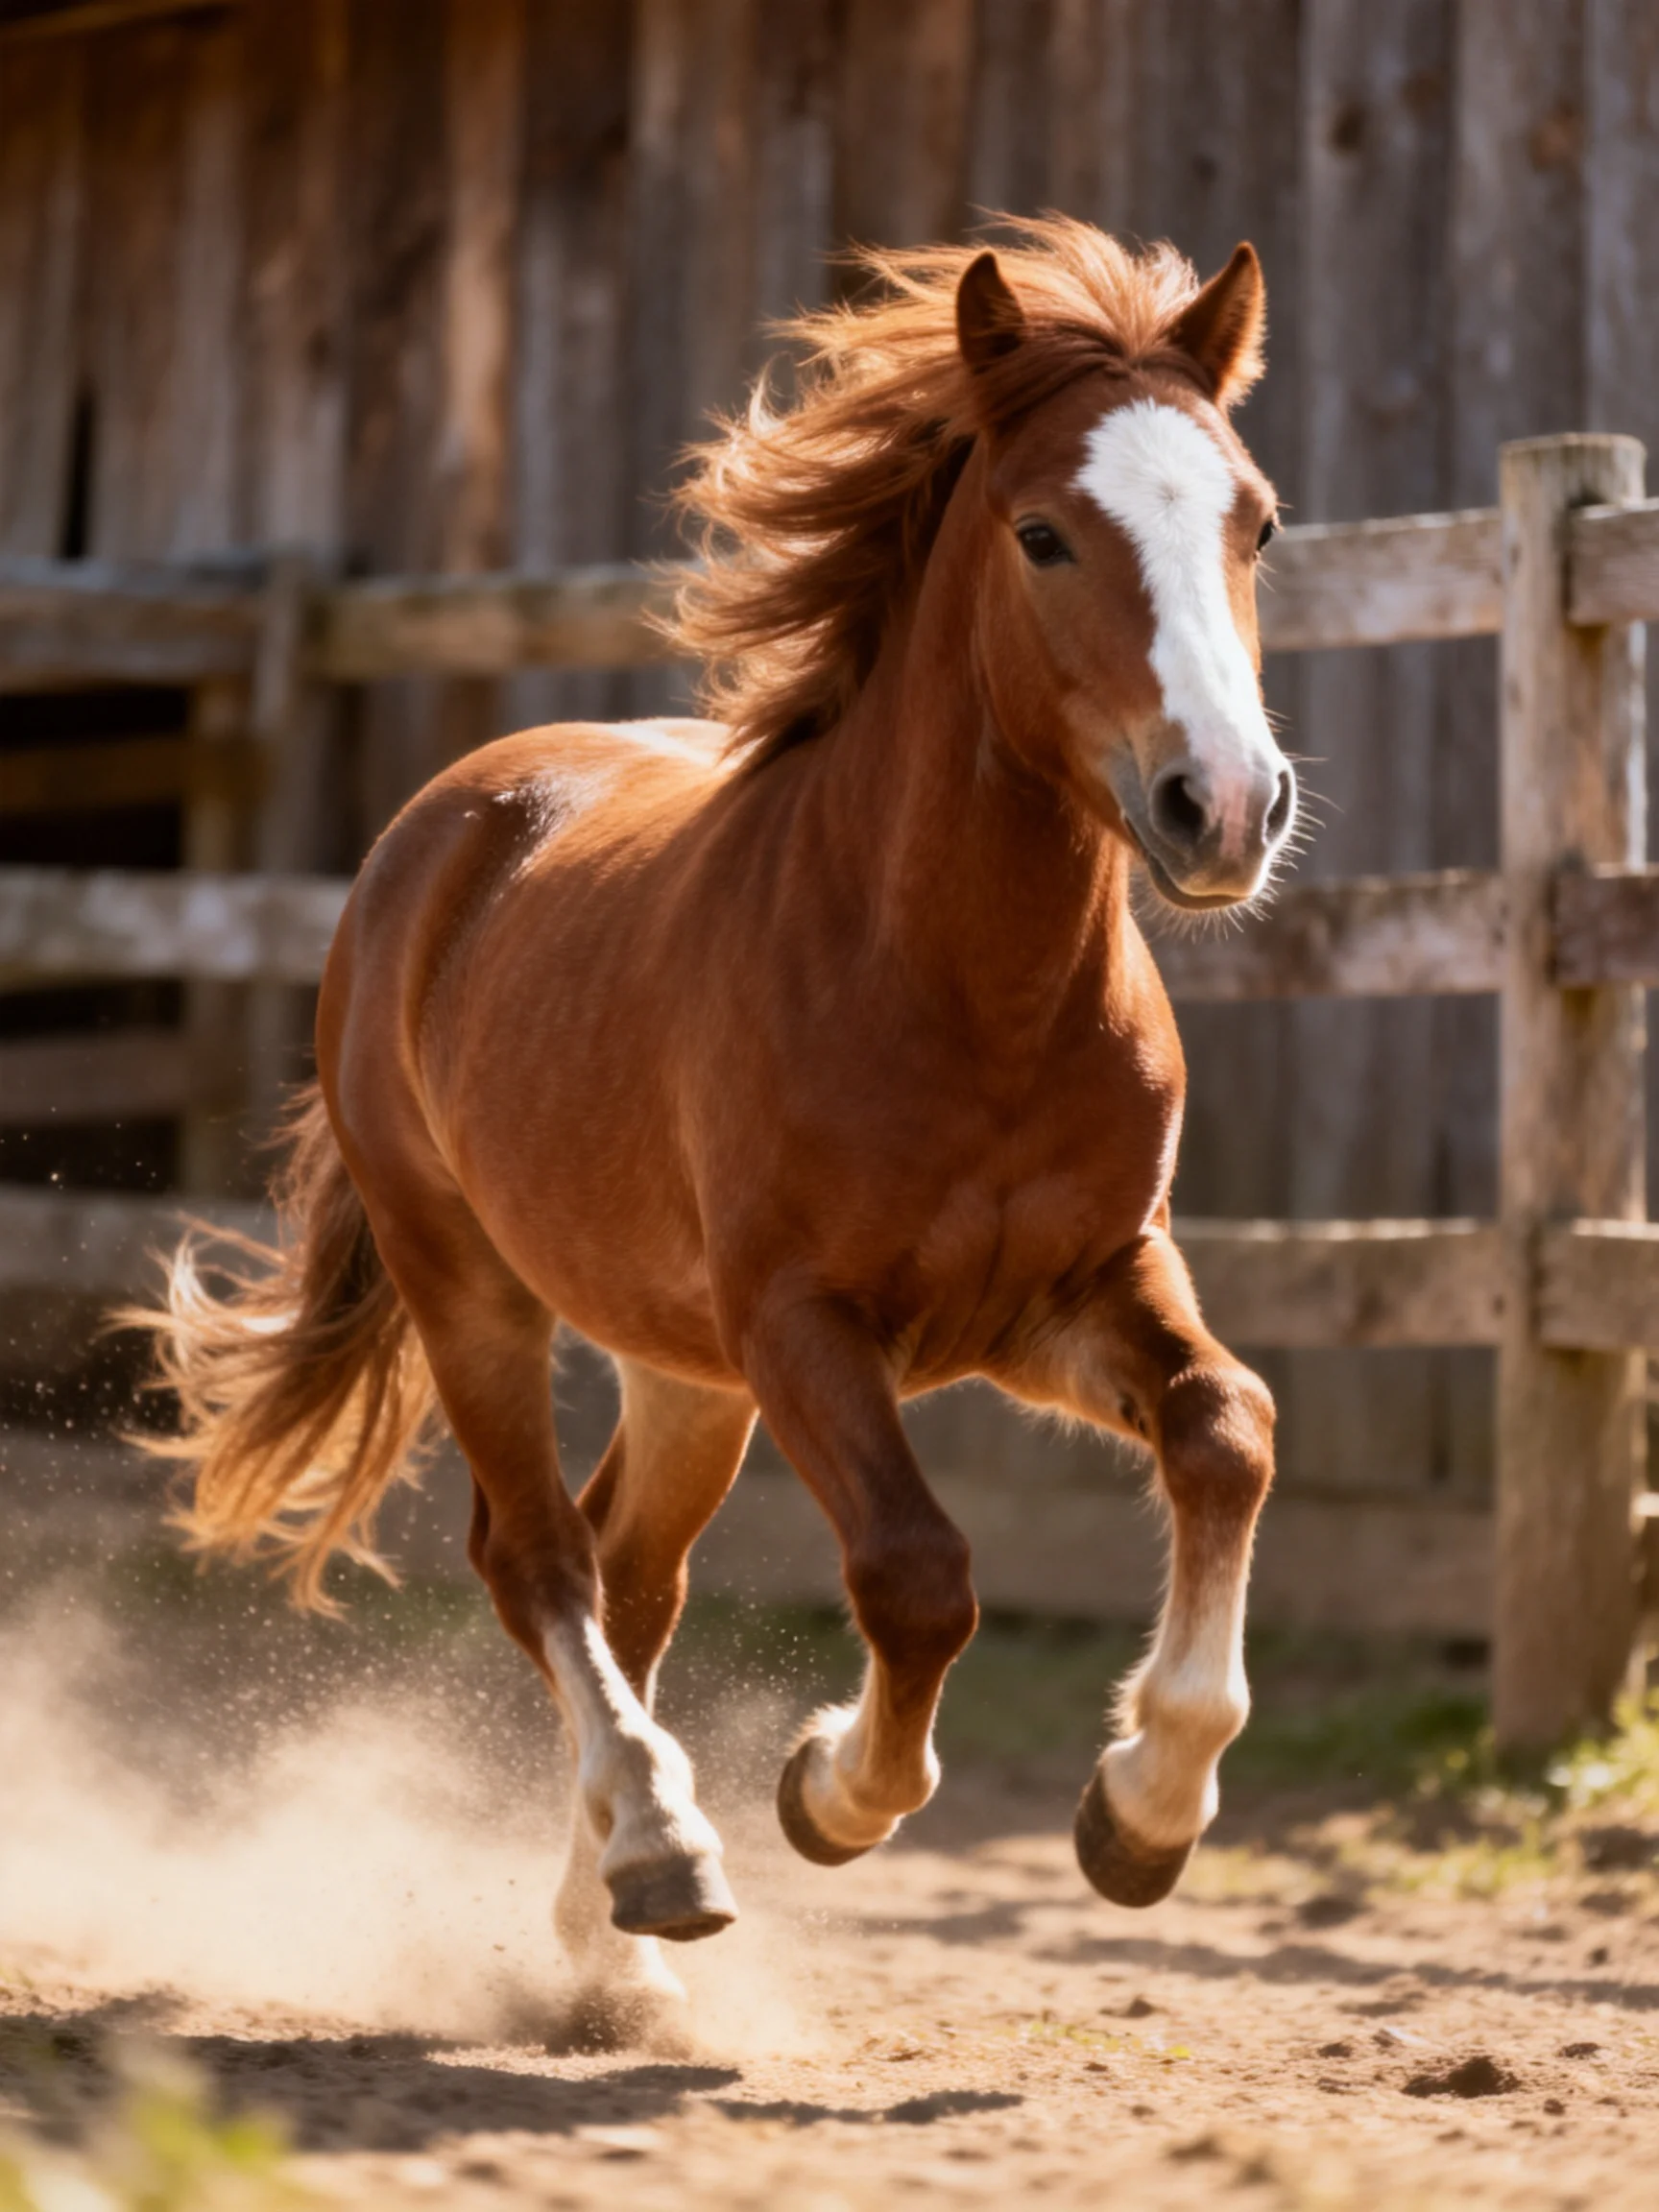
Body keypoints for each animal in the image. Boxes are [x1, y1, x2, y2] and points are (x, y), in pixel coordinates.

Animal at [134, 215, 1295, 2028]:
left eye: (1254, 519)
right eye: (1042, 532)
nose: (1224, 807)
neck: (957, 989)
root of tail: (443, 830)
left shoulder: (1075, 1288)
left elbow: (1226, 1427)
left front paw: (1141, 1811)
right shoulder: (803, 1321)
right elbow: (916, 1571)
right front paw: (827, 1791)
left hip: (683, 1371)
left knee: (628, 1572)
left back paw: (603, 1924)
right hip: (476, 1284)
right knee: (535, 1555)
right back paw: (662, 1855)